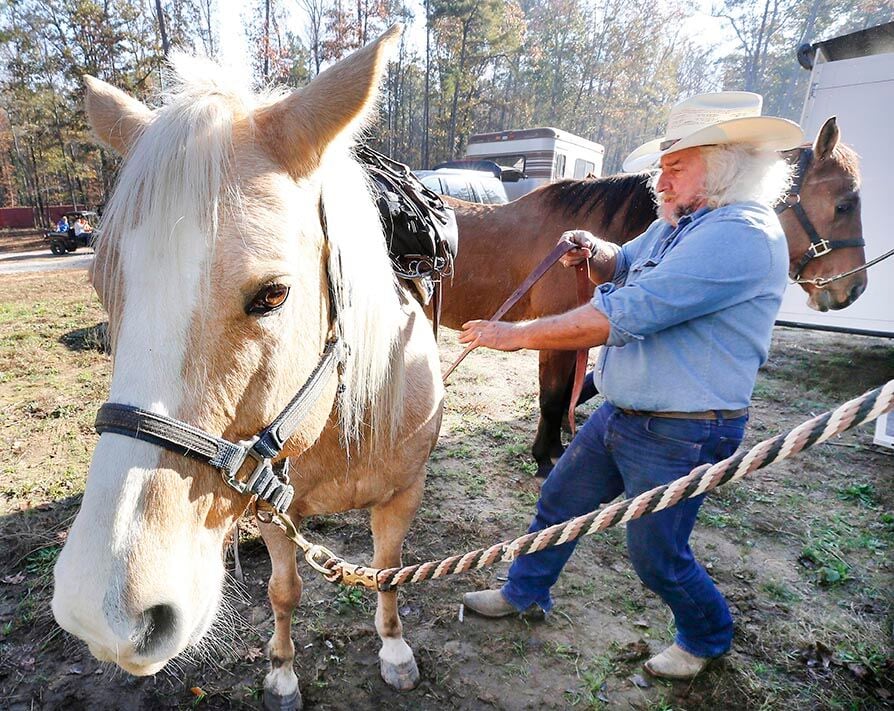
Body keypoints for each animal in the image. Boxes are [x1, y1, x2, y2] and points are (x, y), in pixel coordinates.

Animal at [50, 25, 442, 708]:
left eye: (274, 295)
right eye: (102, 286)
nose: (101, 614)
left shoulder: (402, 495)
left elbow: (389, 573)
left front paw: (394, 649)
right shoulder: (275, 507)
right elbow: (284, 591)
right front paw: (282, 671)